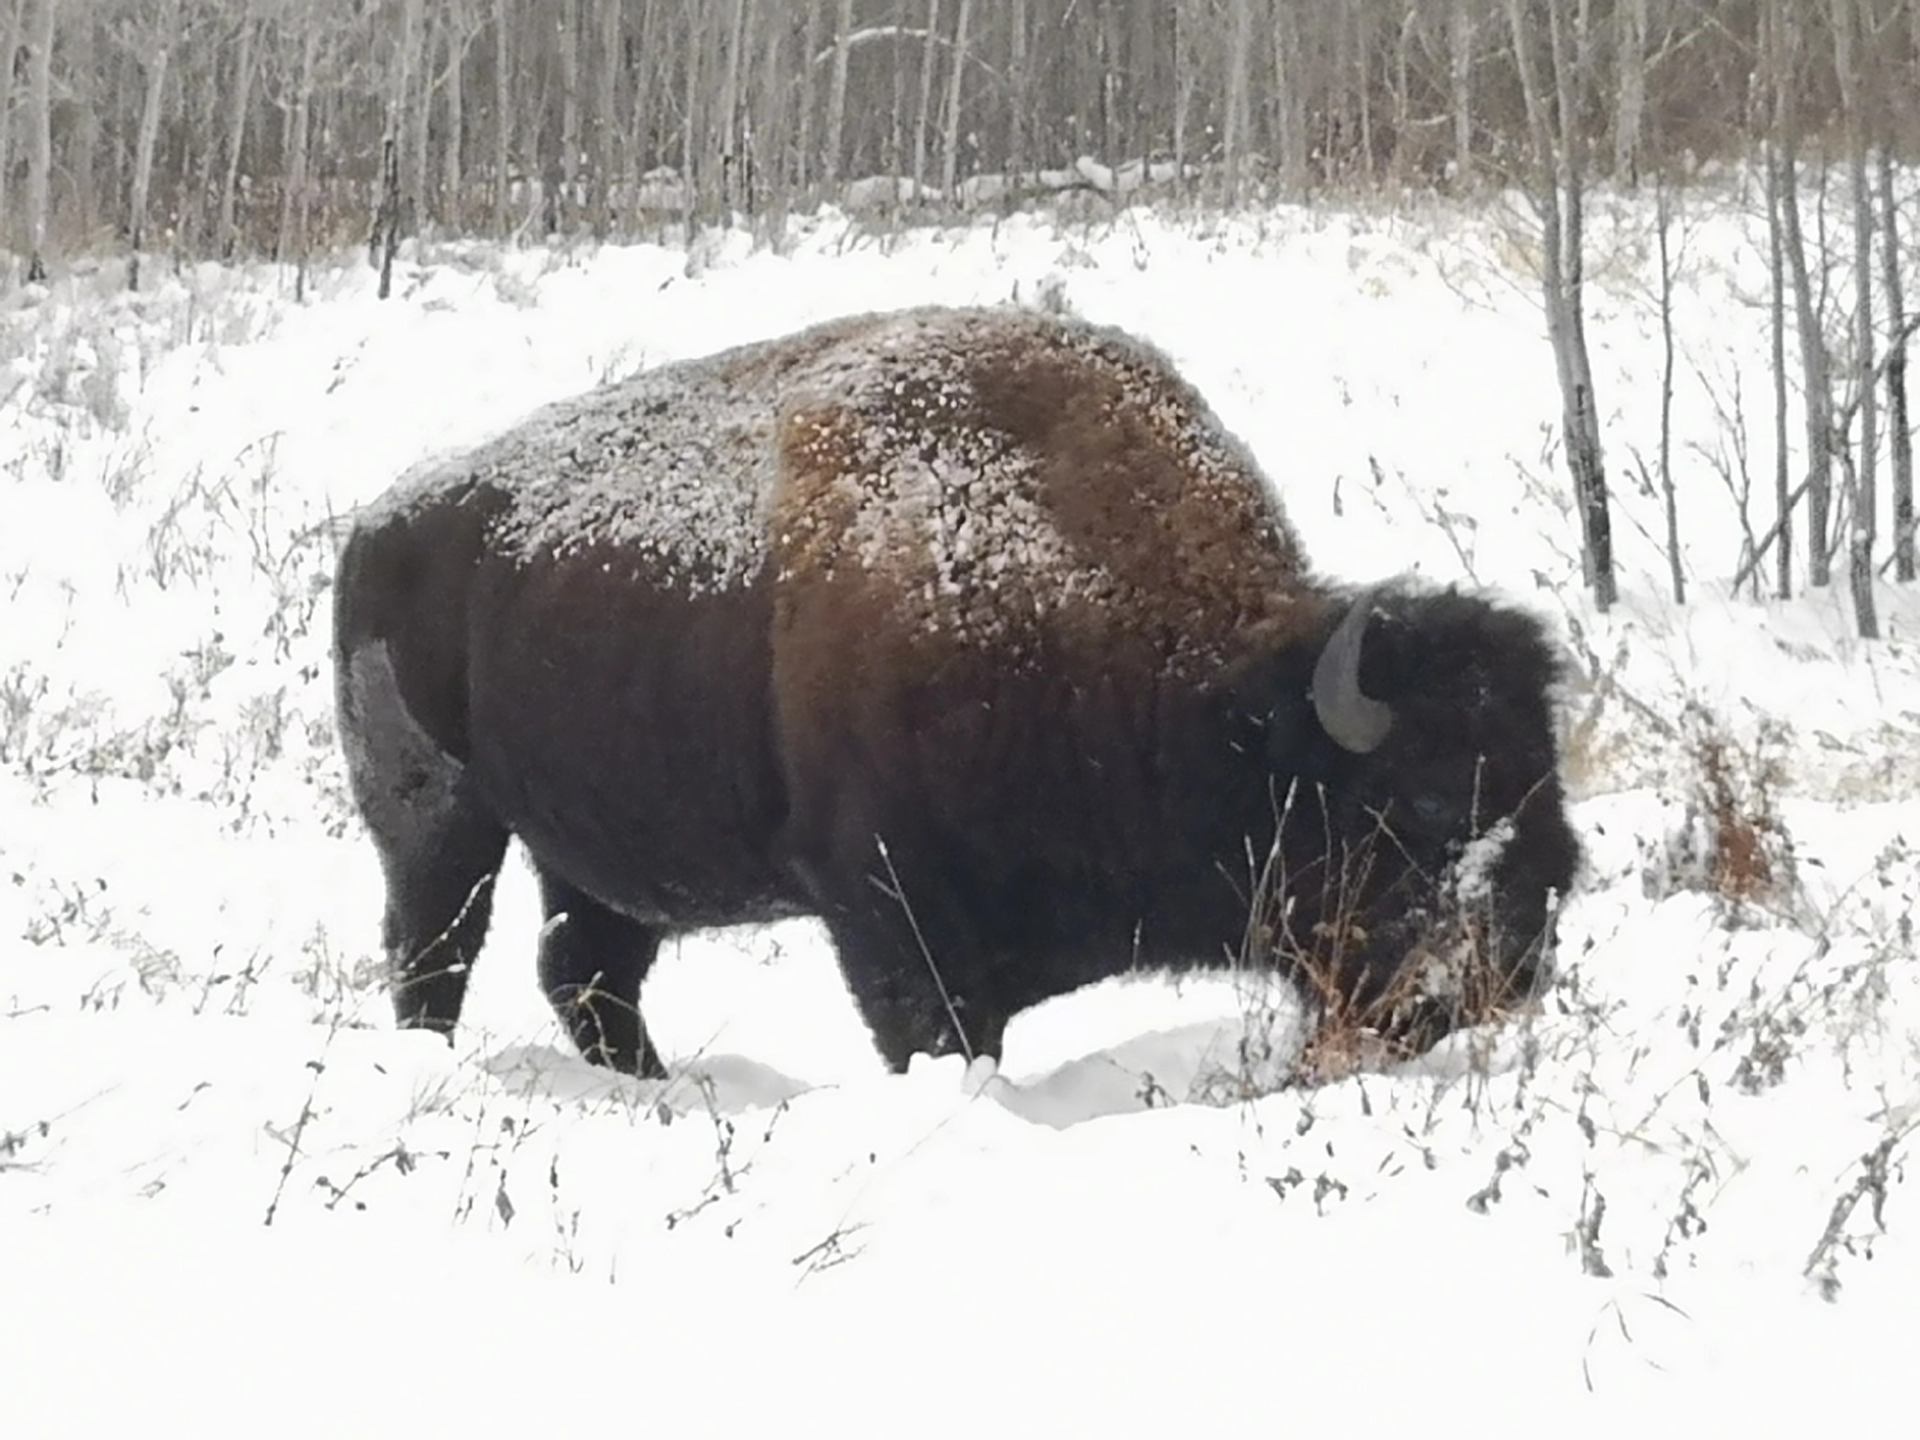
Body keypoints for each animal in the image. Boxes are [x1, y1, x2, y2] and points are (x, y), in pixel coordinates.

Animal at [332, 306, 1578, 1079]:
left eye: (1548, 785)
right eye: (1422, 803)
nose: (1516, 959)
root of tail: (380, 524)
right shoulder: (894, 919)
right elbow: (938, 1037)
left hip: (594, 850)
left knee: (586, 974)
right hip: (436, 822)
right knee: (435, 957)